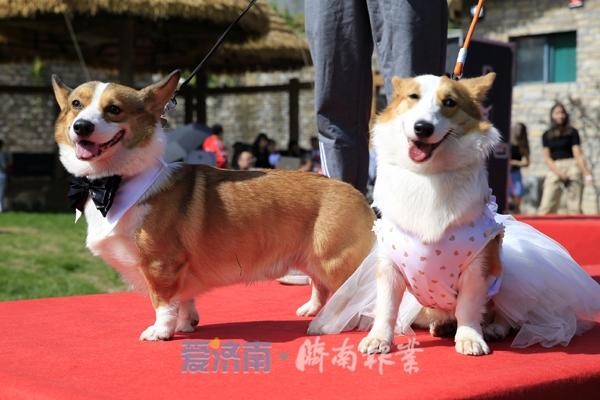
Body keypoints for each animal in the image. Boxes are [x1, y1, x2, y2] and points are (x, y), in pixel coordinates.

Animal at [54, 72, 378, 340]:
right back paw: (313, 311)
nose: (81, 126)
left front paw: (161, 331)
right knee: (321, 286)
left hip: (335, 260)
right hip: (312, 258)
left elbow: (163, 302)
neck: (113, 183)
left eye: (114, 109)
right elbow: (184, 300)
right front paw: (186, 324)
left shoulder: (160, 264)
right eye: (76, 104)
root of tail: (359, 195)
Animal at [360, 73, 506, 354]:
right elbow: (386, 308)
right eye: (413, 97)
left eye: (449, 102)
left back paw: (493, 328)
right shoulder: (389, 267)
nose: (422, 128)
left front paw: (470, 338)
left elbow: (469, 308)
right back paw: (442, 326)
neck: (427, 176)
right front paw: (378, 339)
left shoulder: (477, 268)